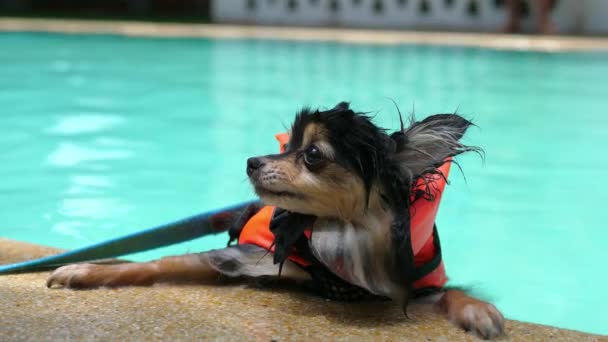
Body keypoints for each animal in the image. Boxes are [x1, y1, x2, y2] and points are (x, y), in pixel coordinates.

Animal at [46, 102, 504, 340]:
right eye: (287, 146)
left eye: (312, 154)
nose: (251, 161)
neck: (341, 234)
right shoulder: (244, 258)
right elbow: (159, 264)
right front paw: (85, 271)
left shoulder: (413, 284)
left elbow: (452, 291)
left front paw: (479, 311)